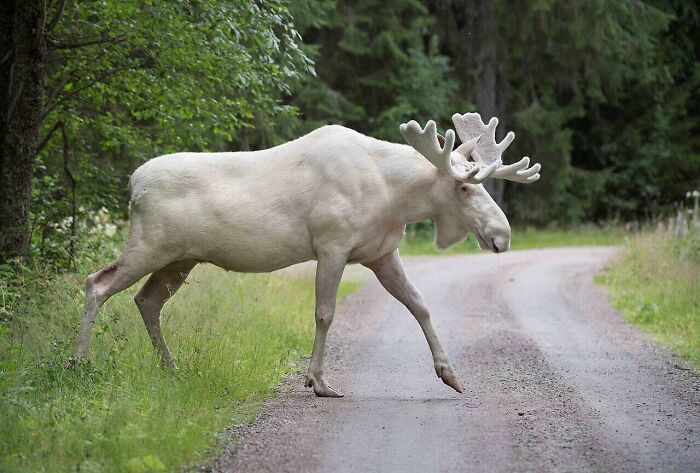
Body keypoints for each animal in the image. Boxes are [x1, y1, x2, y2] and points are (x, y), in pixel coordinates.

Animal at [74, 112, 540, 396]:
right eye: (464, 187)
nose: (502, 235)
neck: (394, 197)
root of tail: (133, 184)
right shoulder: (332, 244)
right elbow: (325, 313)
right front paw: (317, 381)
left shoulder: (382, 253)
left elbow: (421, 305)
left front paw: (450, 374)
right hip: (149, 245)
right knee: (97, 283)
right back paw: (80, 363)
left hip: (179, 259)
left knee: (146, 300)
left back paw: (169, 368)